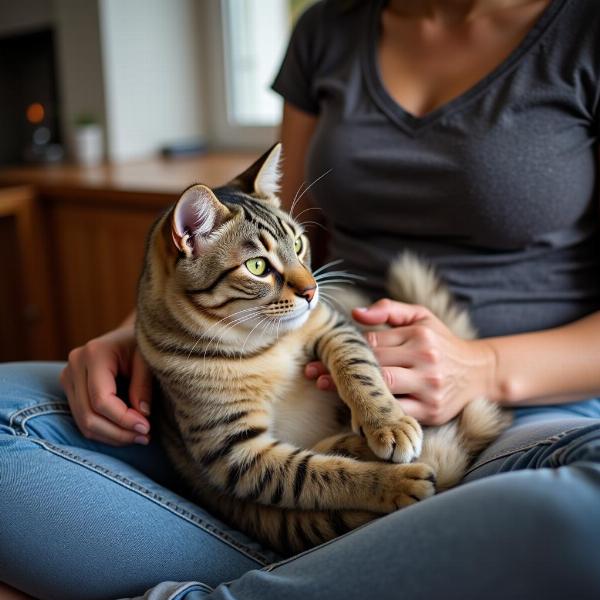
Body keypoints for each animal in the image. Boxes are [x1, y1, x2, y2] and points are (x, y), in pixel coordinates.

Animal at [137, 143, 510, 556]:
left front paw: (389, 423)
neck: (261, 343)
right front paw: (393, 482)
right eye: (257, 266)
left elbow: (360, 369)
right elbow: (315, 474)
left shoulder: (332, 326)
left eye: (299, 245)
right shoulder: (236, 452)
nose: (312, 290)